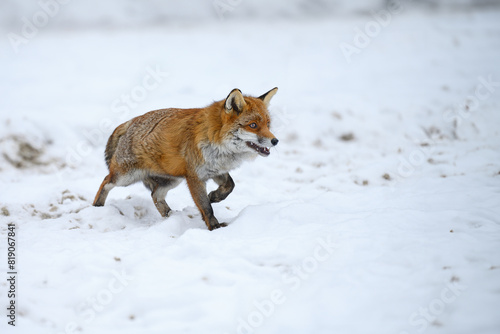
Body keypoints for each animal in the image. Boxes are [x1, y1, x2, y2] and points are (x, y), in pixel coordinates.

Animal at [92, 87, 280, 231]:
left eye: (268, 124)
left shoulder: (215, 170)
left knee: (155, 195)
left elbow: (230, 185)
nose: (275, 141)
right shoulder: (195, 177)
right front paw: (214, 228)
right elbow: (206, 207)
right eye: (253, 125)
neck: (215, 139)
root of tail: (129, 122)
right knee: (105, 181)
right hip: (125, 177)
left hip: (172, 179)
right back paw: (96, 207)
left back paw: (169, 215)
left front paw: (215, 196)